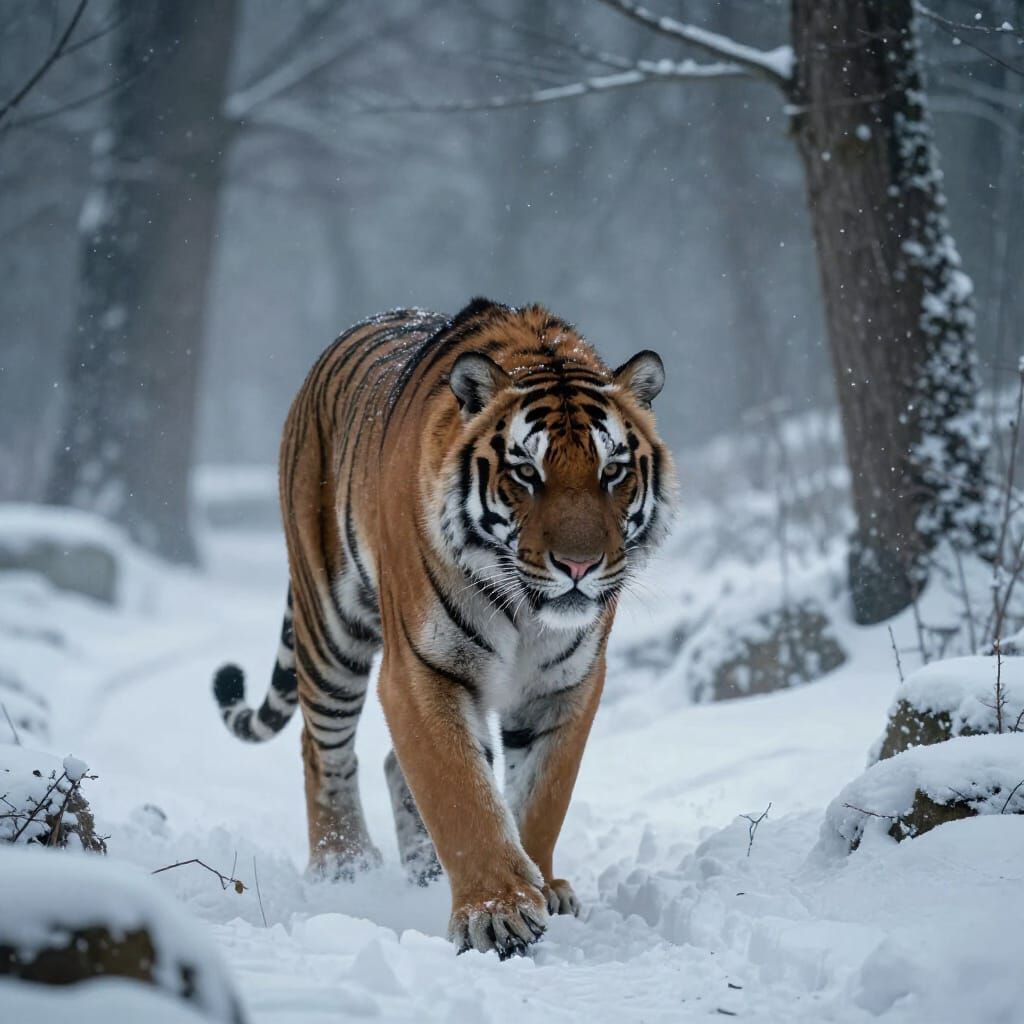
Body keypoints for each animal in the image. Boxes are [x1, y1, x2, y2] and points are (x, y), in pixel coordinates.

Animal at [212, 298, 675, 957]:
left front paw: (542, 887)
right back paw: (344, 869)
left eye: (612, 472)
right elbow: (462, 794)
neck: (527, 613)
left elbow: (540, 797)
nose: (579, 566)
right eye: (526, 473)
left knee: (387, 762)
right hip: (329, 628)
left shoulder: (568, 683)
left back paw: (424, 872)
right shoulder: (420, 669)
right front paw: (498, 912)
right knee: (321, 747)